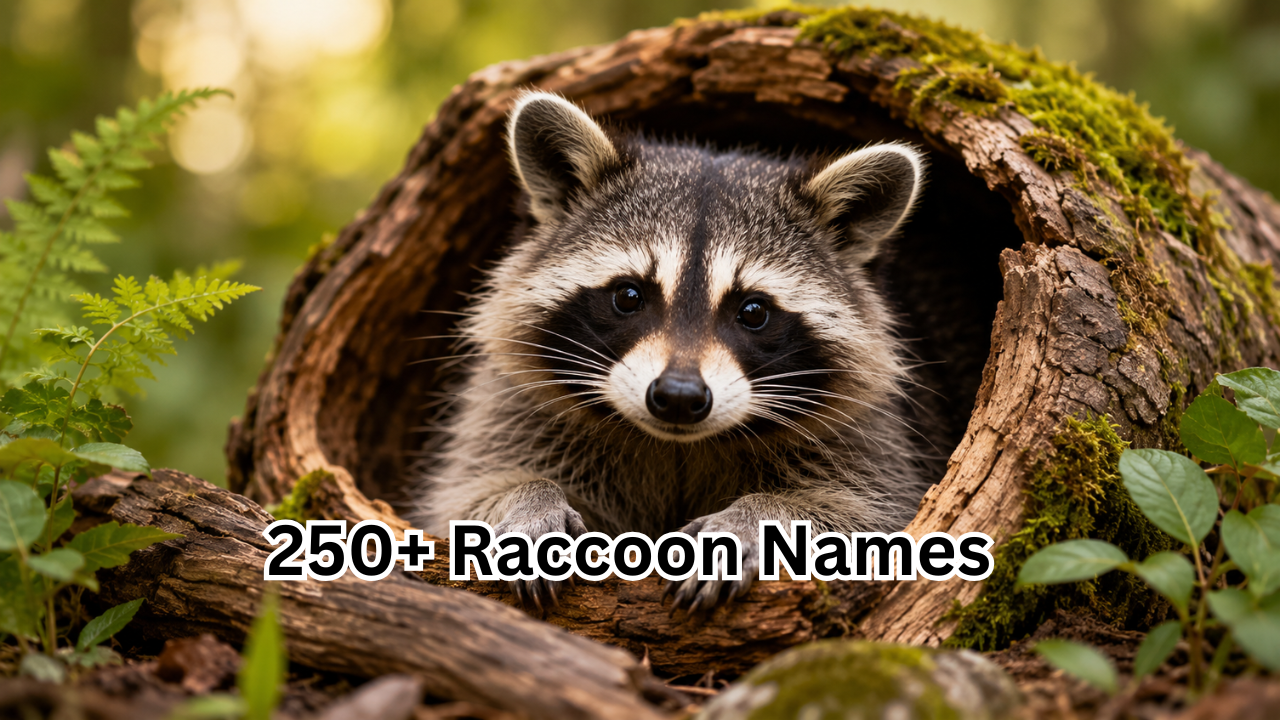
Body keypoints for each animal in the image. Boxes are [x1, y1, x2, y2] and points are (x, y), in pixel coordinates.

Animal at [415, 92, 933, 612]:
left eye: (753, 311)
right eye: (628, 296)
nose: (679, 397)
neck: (676, 445)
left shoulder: (867, 440)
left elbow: (867, 516)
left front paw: (756, 515)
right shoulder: (514, 410)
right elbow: (462, 498)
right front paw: (529, 498)